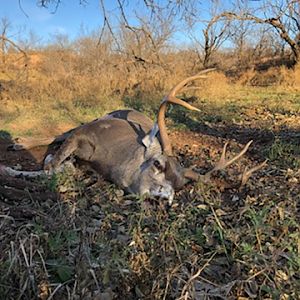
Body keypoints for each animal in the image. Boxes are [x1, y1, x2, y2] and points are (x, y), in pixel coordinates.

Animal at [1, 69, 266, 204]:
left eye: (179, 186)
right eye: (158, 164)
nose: (164, 198)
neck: (111, 161)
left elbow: (59, 170)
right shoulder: (84, 134)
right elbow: (50, 167)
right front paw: (9, 169)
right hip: (94, 120)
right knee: (59, 133)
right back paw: (19, 143)